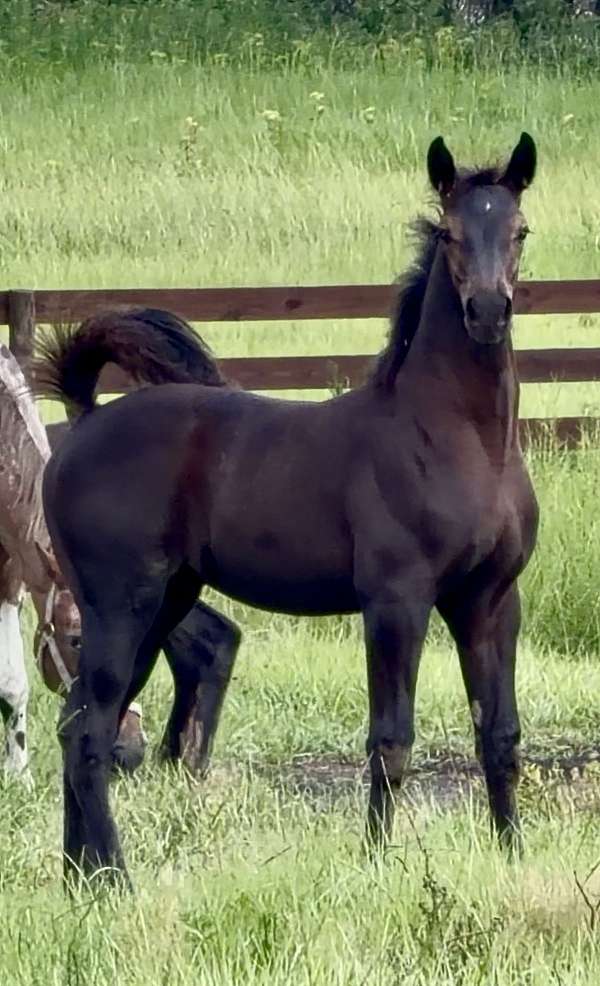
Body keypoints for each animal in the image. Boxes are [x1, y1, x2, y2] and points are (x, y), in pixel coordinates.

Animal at [35, 132, 538, 889]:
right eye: (451, 232)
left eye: (519, 231)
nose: (487, 311)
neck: (460, 440)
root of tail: (85, 417)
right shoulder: (397, 600)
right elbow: (391, 737)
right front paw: (375, 866)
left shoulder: (490, 600)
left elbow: (499, 734)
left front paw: (512, 859)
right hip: (120, 604)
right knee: (92, 732)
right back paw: (115, 880)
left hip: (164, 603)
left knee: (77, 725)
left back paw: (79, 880)